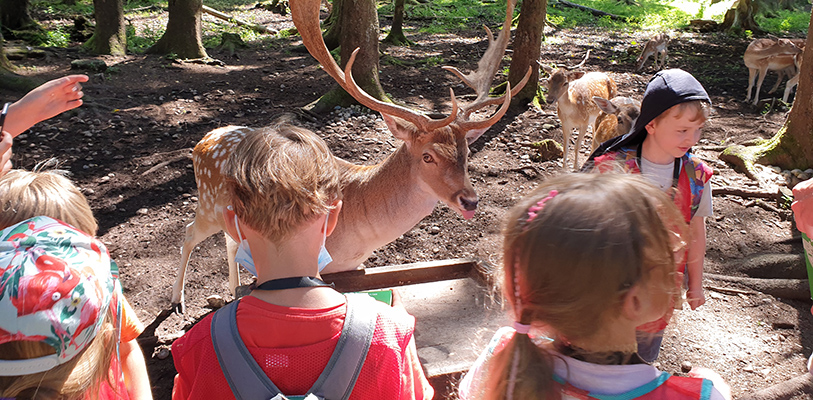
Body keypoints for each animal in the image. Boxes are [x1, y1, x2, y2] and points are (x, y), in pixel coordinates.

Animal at [168, 0, 528, 310]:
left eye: (466, 152)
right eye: (428, 156)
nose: (470, 200)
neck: (355, 235)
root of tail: (205, 139)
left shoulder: (354, 267)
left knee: (230, 243)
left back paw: (230, 290)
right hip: (208, 203)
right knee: (188, 232)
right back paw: (177, 301)